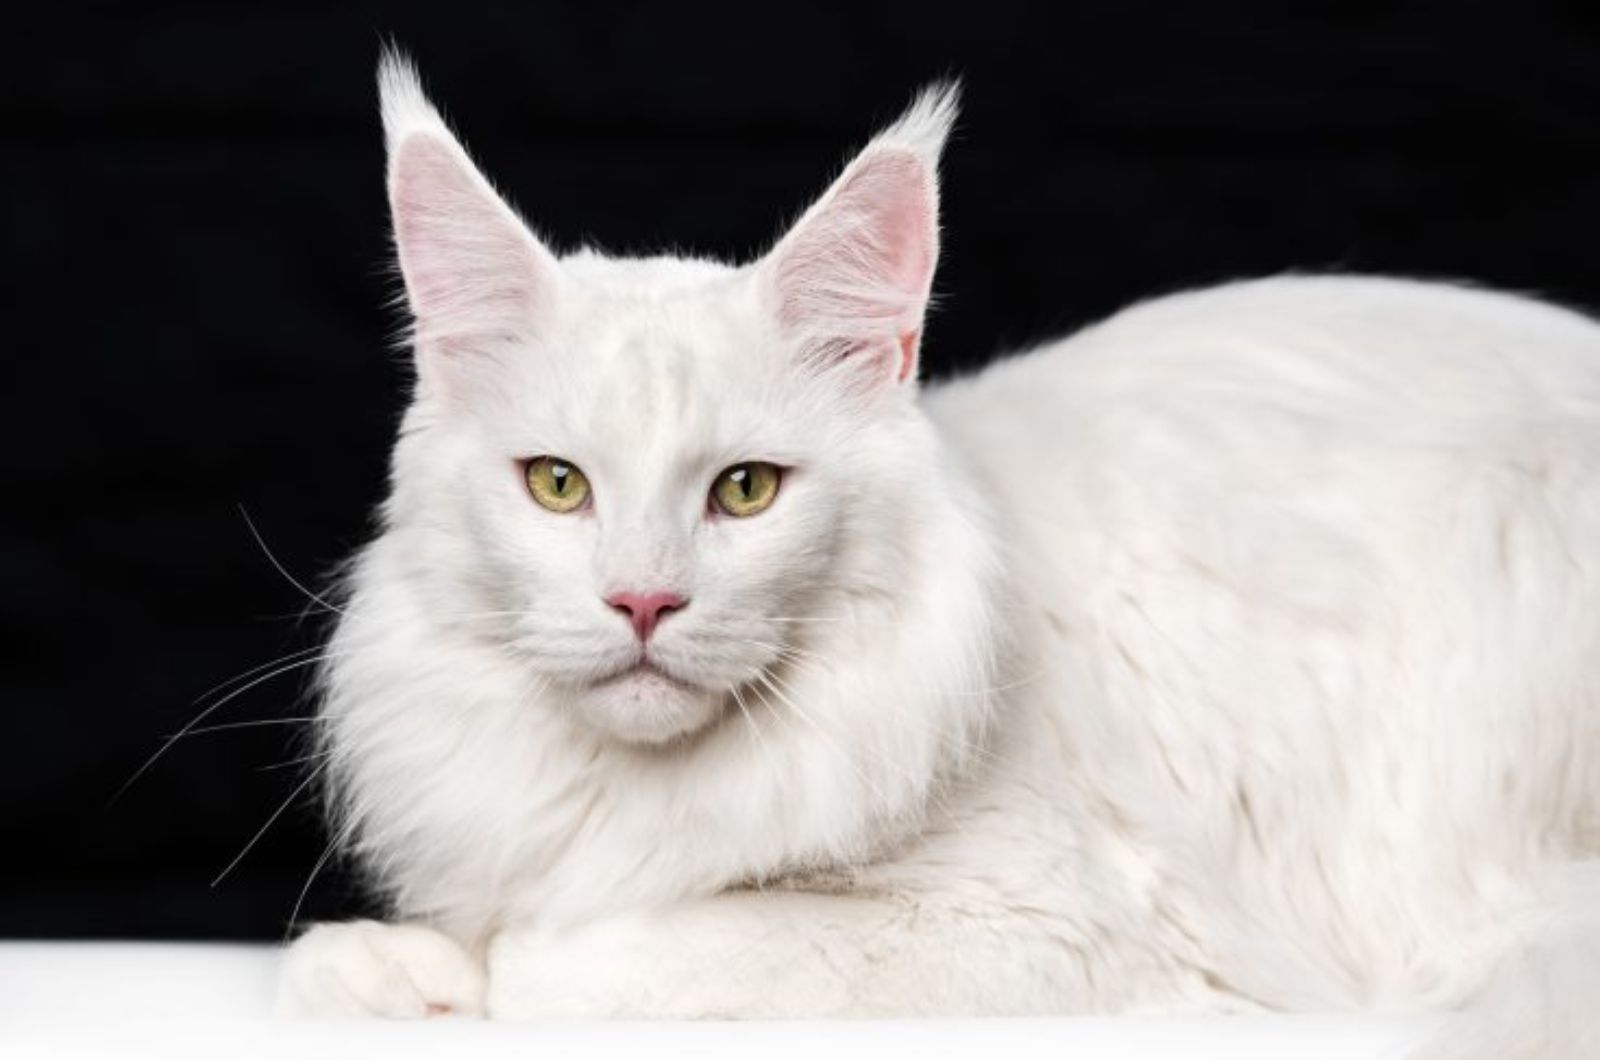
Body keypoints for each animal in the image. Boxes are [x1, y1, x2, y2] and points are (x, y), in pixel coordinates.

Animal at [278, 52, 1600, 1056]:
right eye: (558, 485)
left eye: (745, 491)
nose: (643, 600)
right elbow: (378, 952)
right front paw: (398, 969)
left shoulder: (1060, 930)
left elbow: (593, 959)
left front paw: (488, 970)